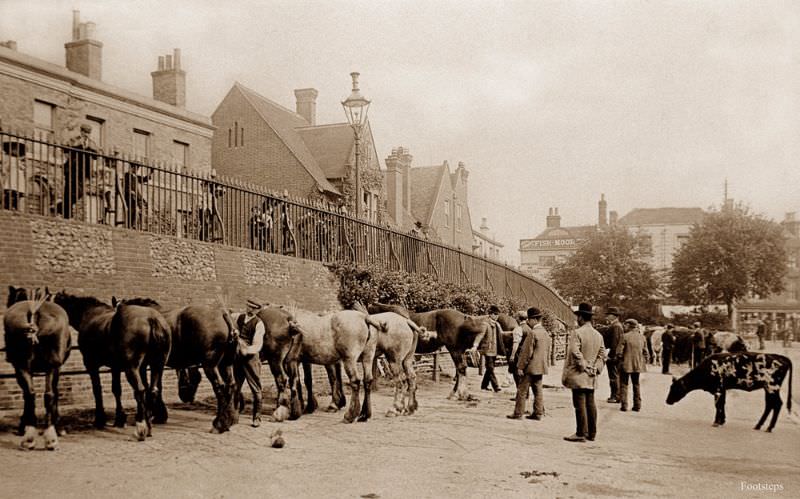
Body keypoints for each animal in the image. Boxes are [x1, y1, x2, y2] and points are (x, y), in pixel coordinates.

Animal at [3, 288, 71, 452]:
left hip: (24, 366)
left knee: (32, 394)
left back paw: (32, 436)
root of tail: (36, 312)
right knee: (45, 394)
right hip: (48, 366)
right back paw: (48, 438)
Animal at [55, 292, 172, 442]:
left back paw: (141, 428)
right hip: (157, 365)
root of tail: (152, 319)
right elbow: (116, 389)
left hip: (131, 368)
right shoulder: (115, 367)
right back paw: (149, 426)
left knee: (140, 390)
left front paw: (100, 419)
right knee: (152, 390)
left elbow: (97, 390)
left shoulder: (91, 364)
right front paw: (120, 419)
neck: (89, 313)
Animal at [115, 298, 239, 436]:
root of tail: (222, 313)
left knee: (220, 388)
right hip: (225, 364)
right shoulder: (157, 365)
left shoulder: (144, 365)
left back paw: (219, 424)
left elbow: (147, 387)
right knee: (231, 385)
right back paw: (228, 421)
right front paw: (159, 415)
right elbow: (157, 387)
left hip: (210, 366)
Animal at [664, 354, 792, 432]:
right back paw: (758, 425)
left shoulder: (718, 390)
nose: (667, 401)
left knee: (777, 404)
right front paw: (722, 421)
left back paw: (769, 427)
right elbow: (722, 404)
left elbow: (718, 405)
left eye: (674, 388)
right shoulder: (723, 389)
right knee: (770, 405)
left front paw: (716, 422)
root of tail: (781, 357)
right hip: (768, 388)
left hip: (772, 387)